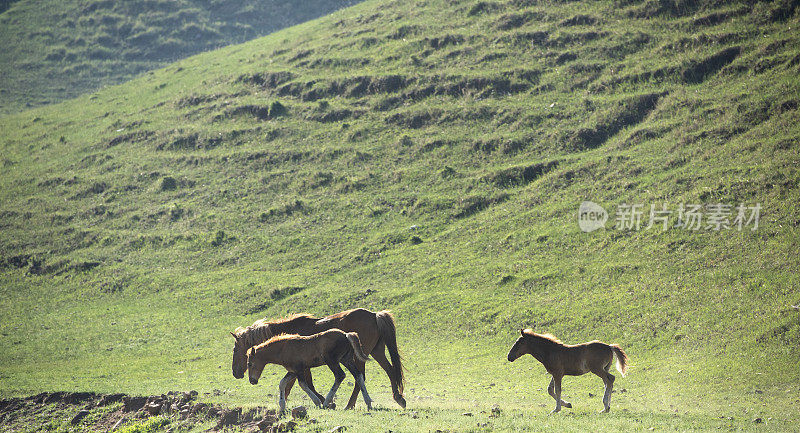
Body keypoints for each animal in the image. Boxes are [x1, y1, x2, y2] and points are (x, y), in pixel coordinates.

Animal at [231, 308, 406, 408]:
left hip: (357, 357)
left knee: (358, 377)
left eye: (235, 350)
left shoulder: (302, 366)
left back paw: (349, 404)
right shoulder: (299, 367)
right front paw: (282, 406)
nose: (236, 373)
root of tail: (375, 315)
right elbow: (289, 384)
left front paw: (324, 401)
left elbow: (304, 384)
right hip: (376, 351)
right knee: (389, 371)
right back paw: (398, 398)